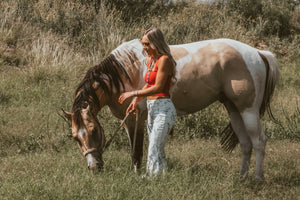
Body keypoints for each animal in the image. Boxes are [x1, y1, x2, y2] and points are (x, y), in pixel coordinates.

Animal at [62, 38, 280, 180]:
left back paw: (257, 179)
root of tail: (258, 53)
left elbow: (137, 150)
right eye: (75, 138)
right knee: (245, 143)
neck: (125, 70)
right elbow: (134, 147)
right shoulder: (128, 120)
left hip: (248, 111)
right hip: (234, 110)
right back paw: (241, 177)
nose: (95, 167)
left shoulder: (138, 117)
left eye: (94, 131)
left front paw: (138, 174)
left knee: (259, 142)